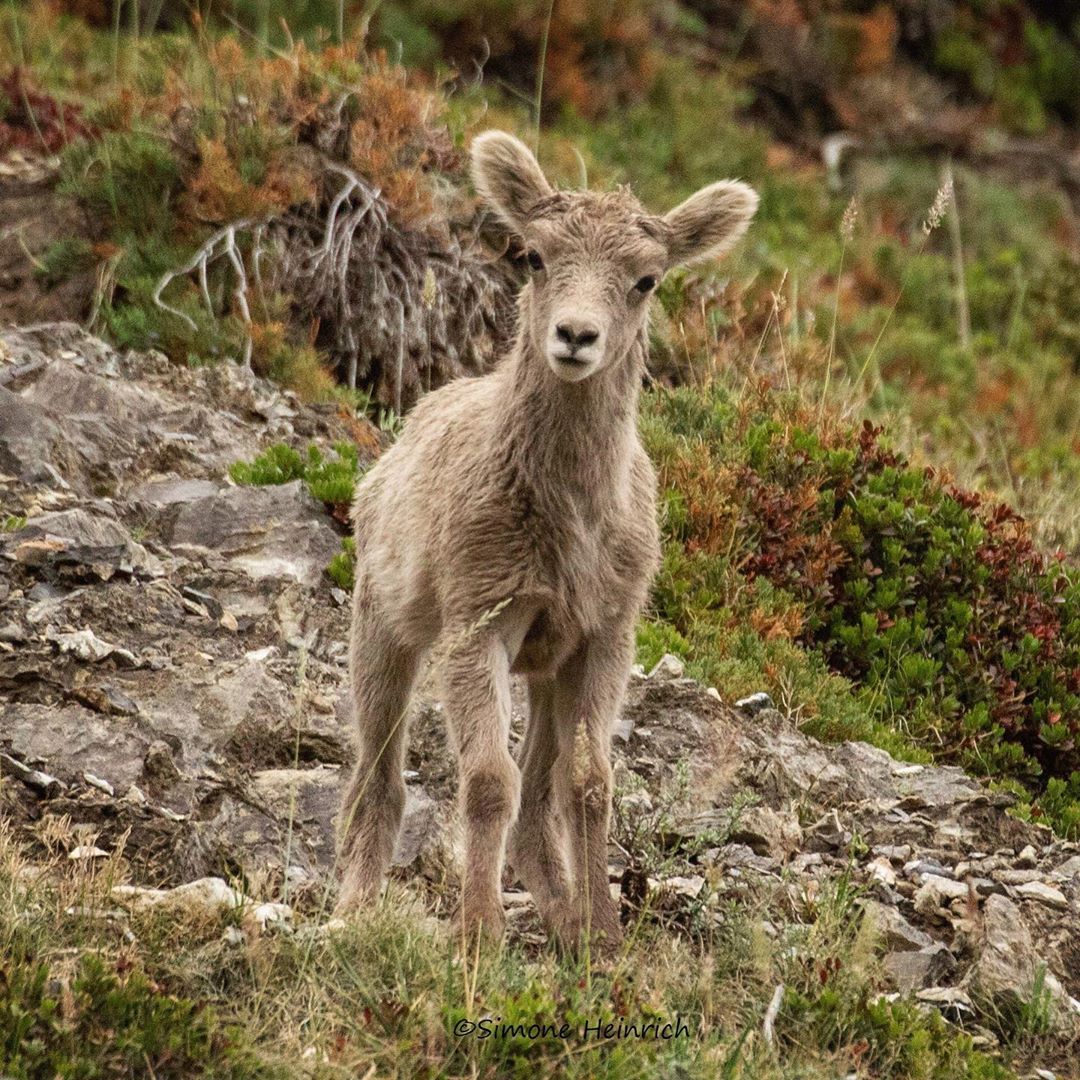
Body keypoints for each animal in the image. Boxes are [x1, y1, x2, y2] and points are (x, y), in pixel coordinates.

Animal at [336, 130, 760, 950]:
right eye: (532, 255)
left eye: (647, 280)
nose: (575, 336)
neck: (570, 523)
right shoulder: (479, 623)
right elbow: (486, 782)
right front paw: (478, 936)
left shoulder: (603, 636)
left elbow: (587, 784)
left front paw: (605, 939)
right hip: (384, 630)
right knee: (380, 780)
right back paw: (355, 906)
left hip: (545, 667)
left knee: (540, 797)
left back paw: (563, 914)